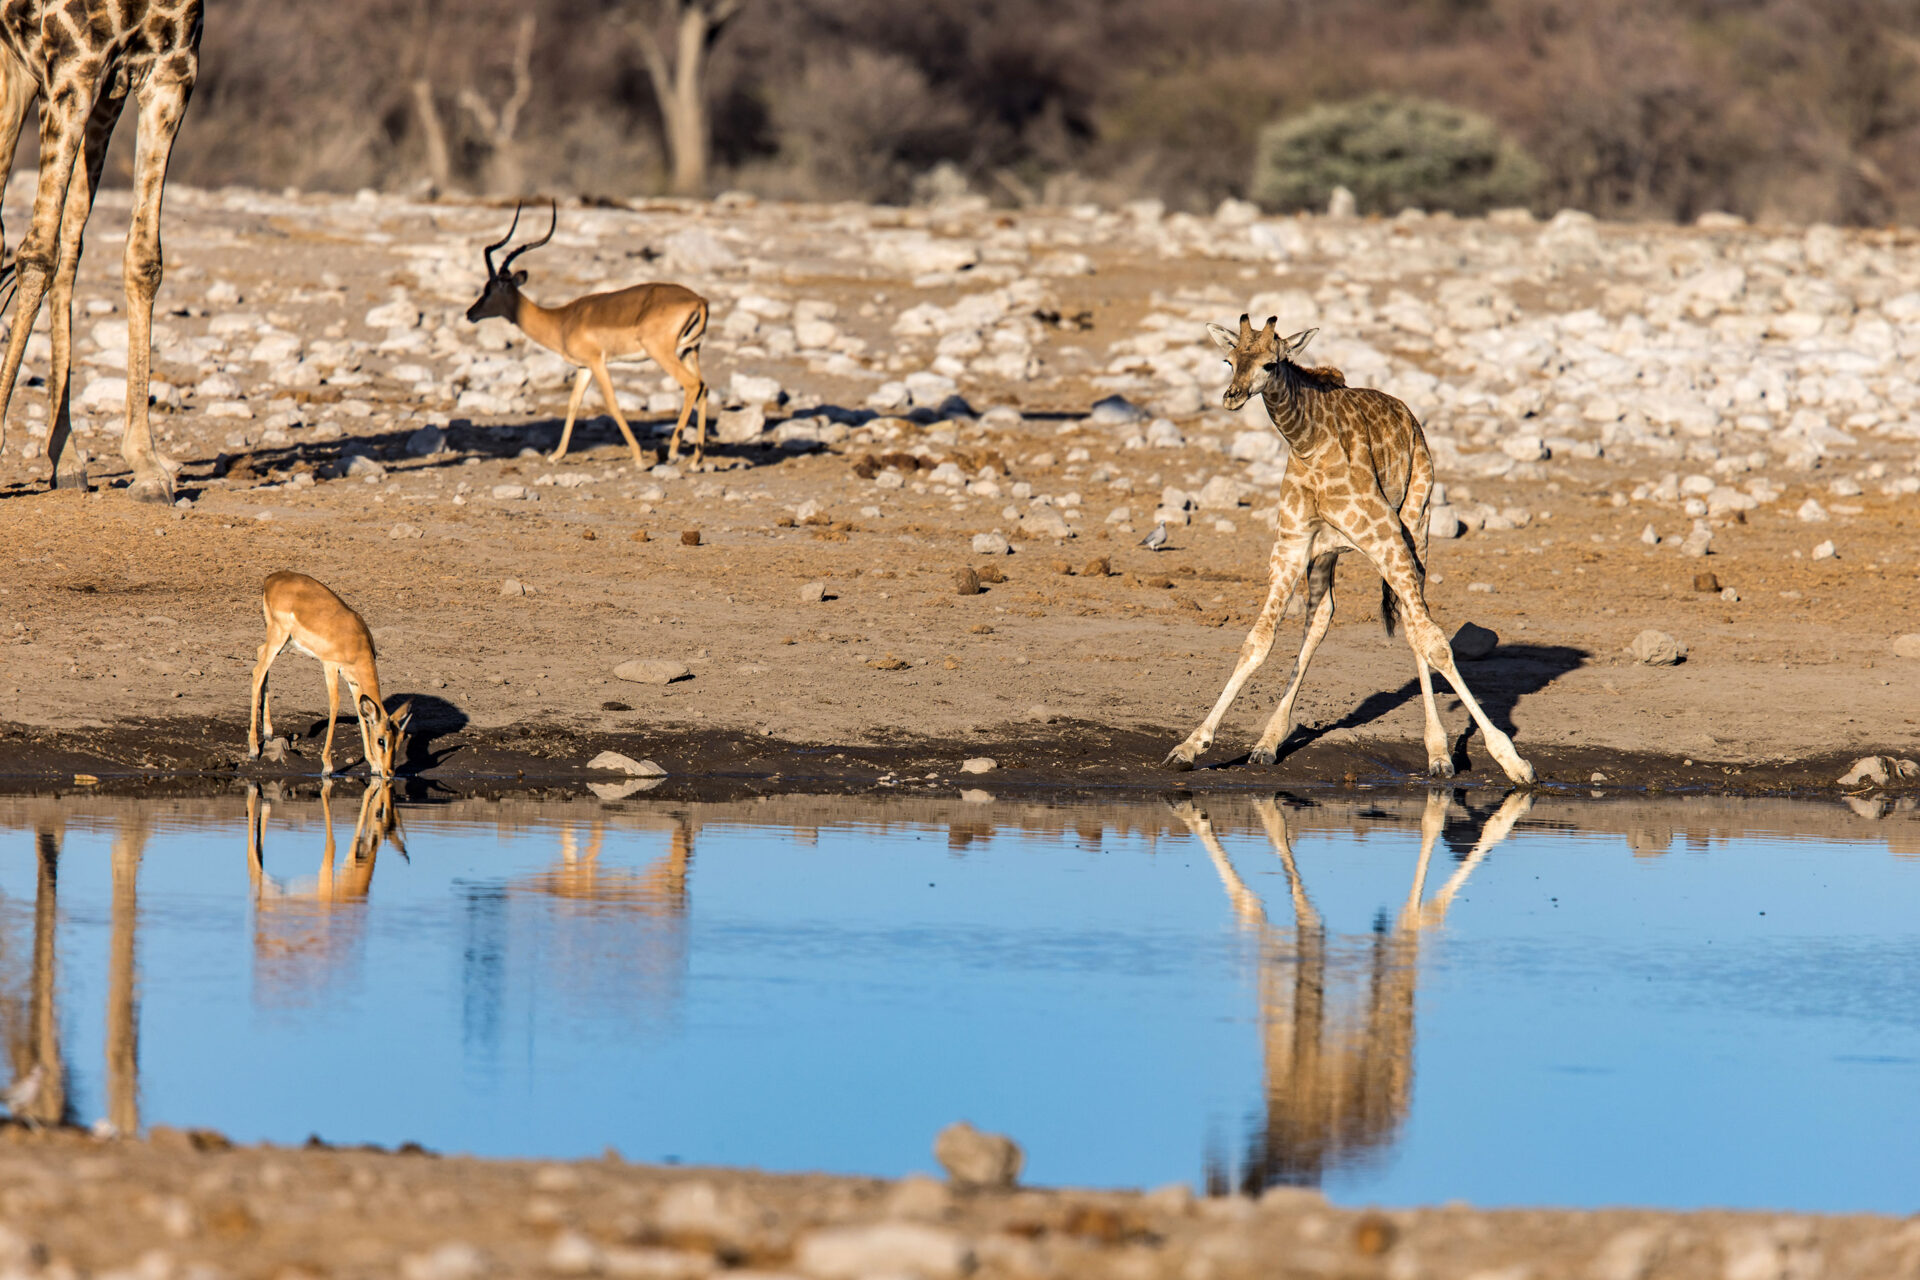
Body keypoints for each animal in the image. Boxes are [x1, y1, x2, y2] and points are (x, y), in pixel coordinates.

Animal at [0, 0, 202, 502]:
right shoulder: (74, 64)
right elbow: (37, 253)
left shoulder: (170, 69)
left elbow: (144, 259)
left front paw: (147, 464)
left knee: (70, 245)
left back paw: (68, 459)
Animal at [1165, 315, 1533, 785]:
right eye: (1228, 360)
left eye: (1269, 363)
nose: (1232, 397)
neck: (1308, 443)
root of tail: (1409, 415)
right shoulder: (1290, 545)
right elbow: (1257, 641)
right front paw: (1190, 747)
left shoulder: (1386, 537)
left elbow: (1434, 641)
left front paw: (1513, 761)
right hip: (1328, 552)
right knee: (1323, 615)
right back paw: (1268, 743)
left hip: (1417, 521)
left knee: (1416, 623)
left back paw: (1439, 754)